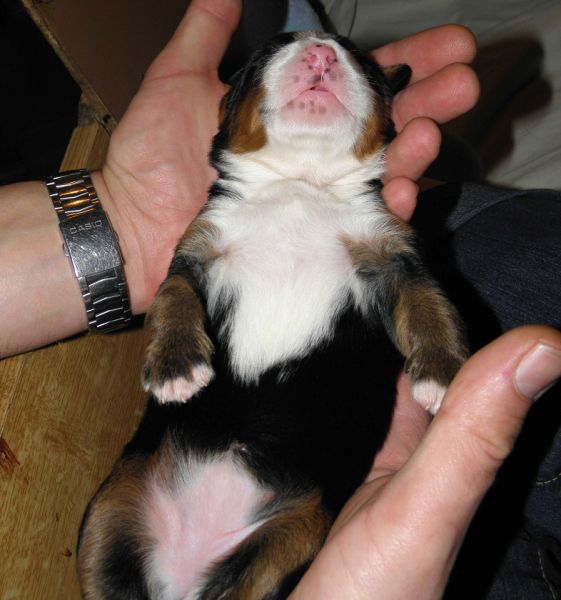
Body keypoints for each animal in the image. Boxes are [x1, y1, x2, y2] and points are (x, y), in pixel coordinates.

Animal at [77, 31, 468, 599]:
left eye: (360, 61)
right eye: (265, 55)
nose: (321, 51)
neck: (299, 184)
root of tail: (182, 575)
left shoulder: (391, 254)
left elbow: (430, 304)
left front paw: (441, 372)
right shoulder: (198, 247)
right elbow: (174, 296)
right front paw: (176, 367)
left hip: (291, 537)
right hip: (112, 506)